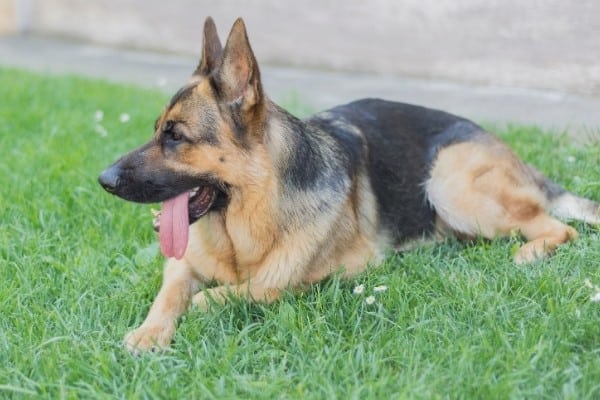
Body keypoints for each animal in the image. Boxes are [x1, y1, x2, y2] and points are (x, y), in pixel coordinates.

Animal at [99, 17, 600, 352]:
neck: (251, 221)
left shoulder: (340, 272)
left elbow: (237, 292)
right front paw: (148, 333)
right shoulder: (181, 266)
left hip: (449, 183)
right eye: (156, 130)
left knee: (556, 226)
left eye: (175, 136)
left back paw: (529, 252)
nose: (103, 180)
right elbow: (170, 295)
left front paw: (207, 303)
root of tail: (499, 142)